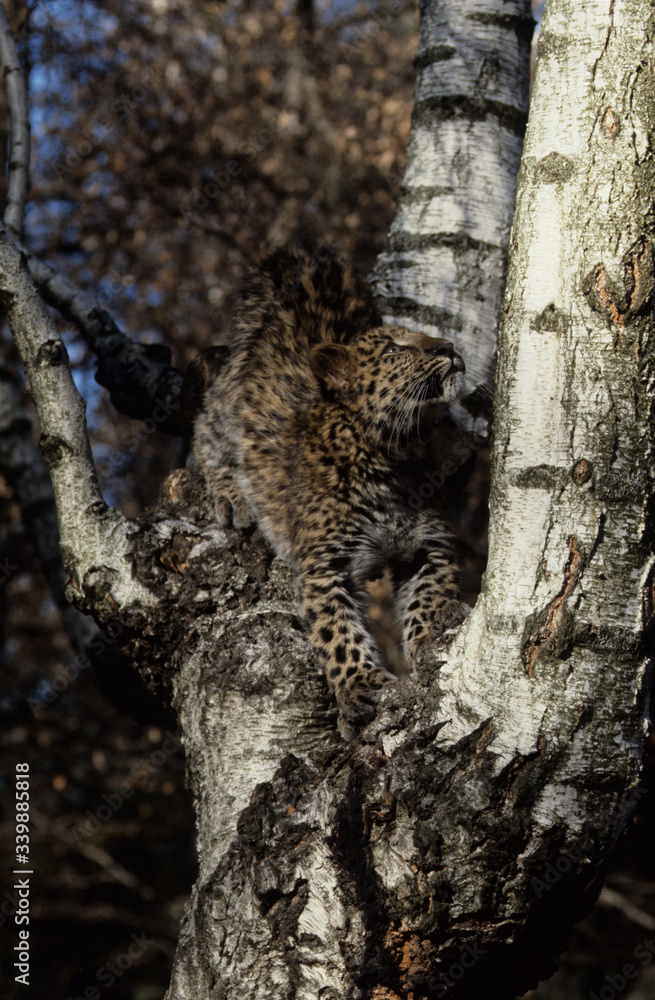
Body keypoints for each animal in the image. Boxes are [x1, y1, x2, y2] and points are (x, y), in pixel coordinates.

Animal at [192, 243, 468, 726]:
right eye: (395, 348)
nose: (449, 347)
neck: (394, 451)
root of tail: (301, 262)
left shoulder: (430, 543)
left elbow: (430, 595)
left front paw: (432, 637)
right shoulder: (324, 565)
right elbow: (336, 632)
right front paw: (360, 686)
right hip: (227, 402)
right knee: (204, 431)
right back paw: (231, 496)